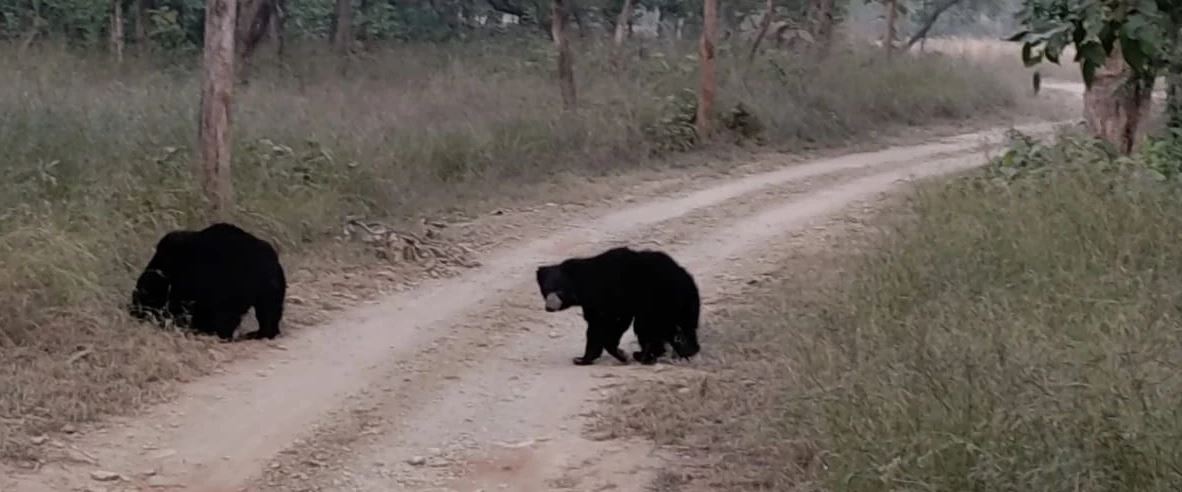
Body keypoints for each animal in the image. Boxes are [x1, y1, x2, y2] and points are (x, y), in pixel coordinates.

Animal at [531, 246, 695, 364]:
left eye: (560, 290)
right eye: (546, 290)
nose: (549, 307)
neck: (585, 285)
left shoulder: (613, 296)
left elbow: (612, 324)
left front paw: (622, 354)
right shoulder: (592, 305)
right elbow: (594, 326)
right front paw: (582, 358)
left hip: (659, 298)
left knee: (646, 326)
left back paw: (644, 355)